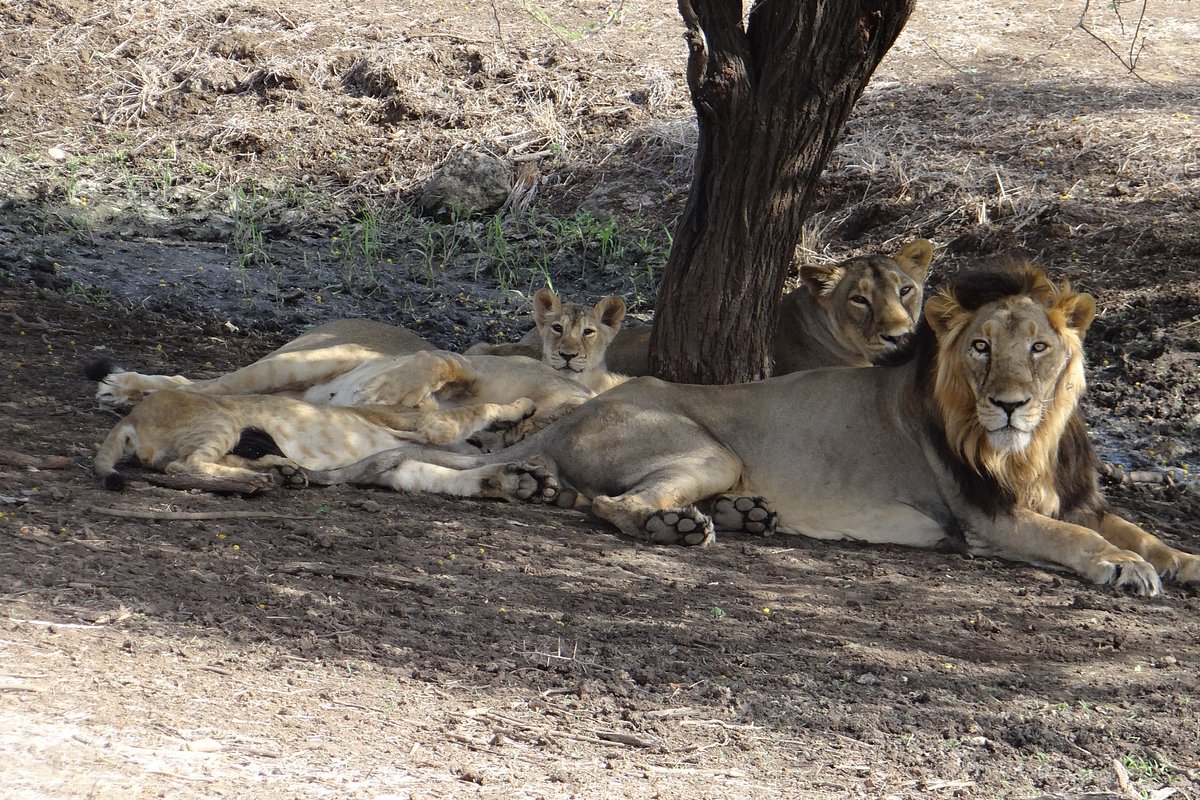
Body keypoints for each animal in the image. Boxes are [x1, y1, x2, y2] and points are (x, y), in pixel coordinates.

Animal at [319, 266, 1200, 597]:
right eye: (980, 347)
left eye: (1040, 349)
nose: (1010, 403)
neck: (1032, 446)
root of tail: (577, 408)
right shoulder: (989, 518)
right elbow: (1079, 542)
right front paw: (1125, 569)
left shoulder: (1079, 497)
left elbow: (1140, 530)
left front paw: (1176, 560)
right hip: (703, 445)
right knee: (606, 508)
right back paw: (681, 527)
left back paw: (743, 515)